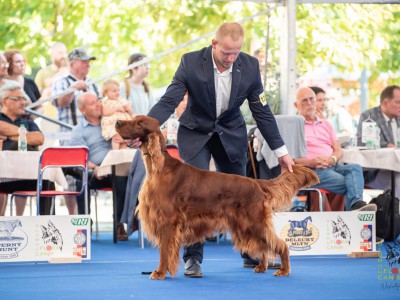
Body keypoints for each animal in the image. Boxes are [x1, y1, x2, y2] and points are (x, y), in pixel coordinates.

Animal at [115, 116, 318, 280]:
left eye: (139, 123)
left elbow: (164, 252)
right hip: (245, 225)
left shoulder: (168, 222)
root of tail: (257, 183)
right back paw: (261, 267)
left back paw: (283, 270)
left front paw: (159, 273)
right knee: (263, 246)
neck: (160, 168)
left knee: (281, 244)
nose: (117, 122)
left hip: (254, 222)